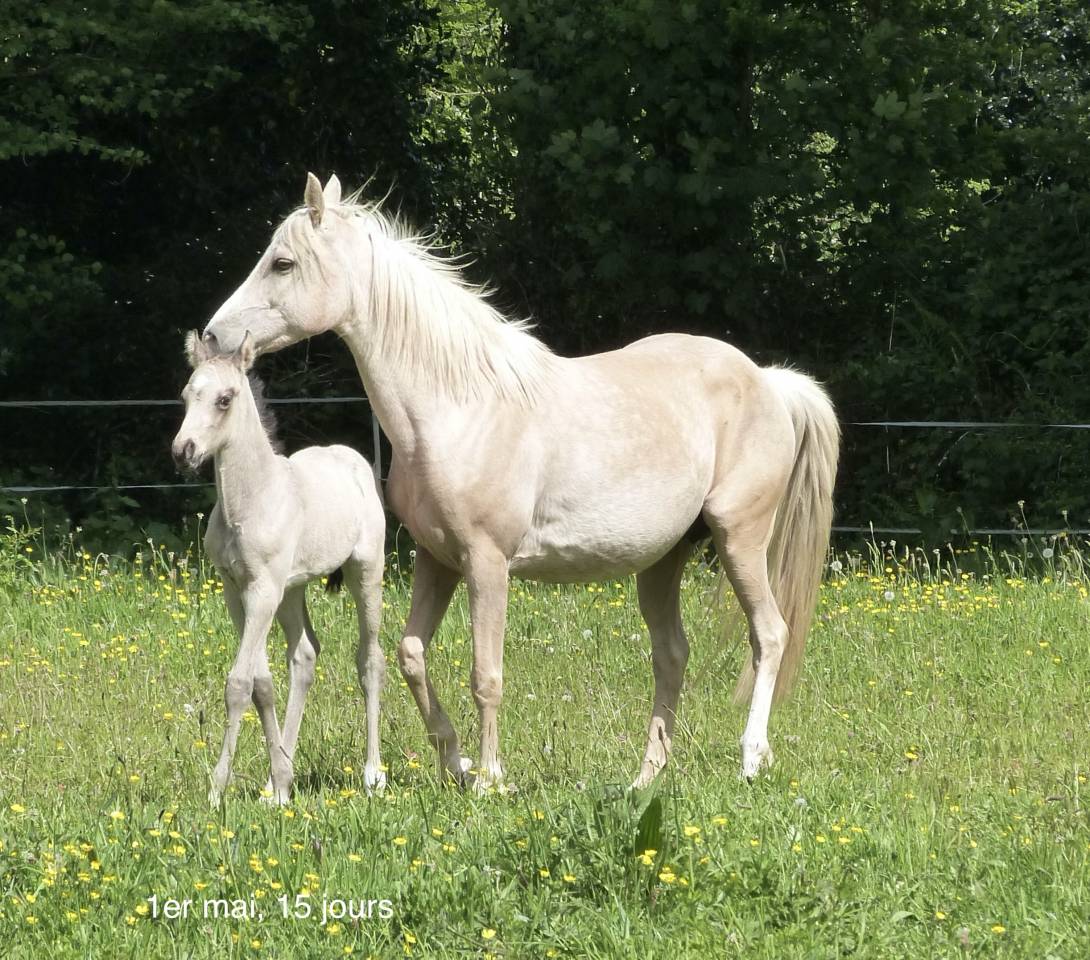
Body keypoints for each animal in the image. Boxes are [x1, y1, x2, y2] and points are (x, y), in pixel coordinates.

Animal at [172, 330, 387, 804]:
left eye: (225, 399)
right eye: (186, 396)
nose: (183, 451)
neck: (252, 500)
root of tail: (352, 458)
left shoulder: (262, 590)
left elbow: (238, 684)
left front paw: (216, 790)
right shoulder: (238, 590)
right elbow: (262, 683)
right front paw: (279, 781)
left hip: (366, 570)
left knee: (370, 659)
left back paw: (372, 774)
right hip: (293, 589)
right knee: (304, 656)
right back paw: (280, 780)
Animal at [201, 173, 839, 788]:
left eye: (283, 263)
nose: (211, 336)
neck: (459, 407)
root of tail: (767, 380)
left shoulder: (487, 563)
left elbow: (486, 675)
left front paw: (489, 779)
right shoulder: (439, 561)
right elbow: (411, 654)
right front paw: (454, 762)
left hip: (739, 538)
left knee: (769, 635)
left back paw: (751, 758)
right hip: (663, 561)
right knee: (672, 656)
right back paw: (644, 778)